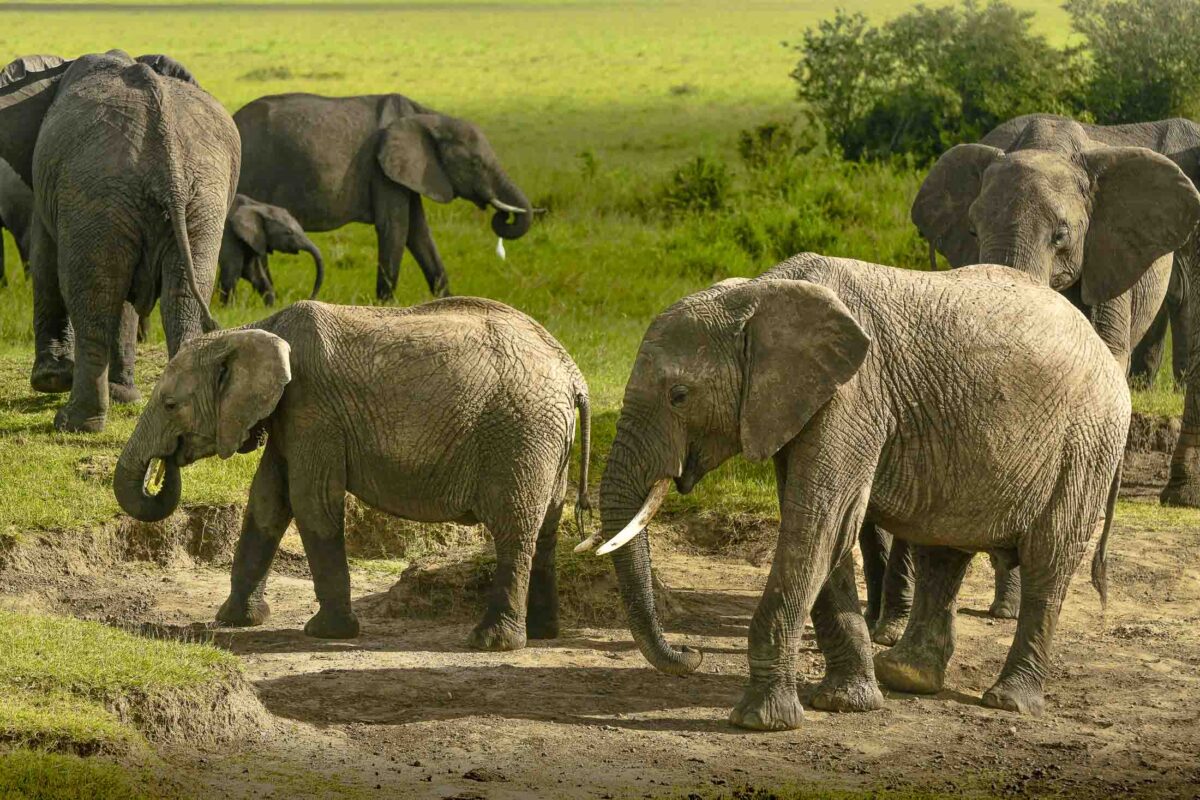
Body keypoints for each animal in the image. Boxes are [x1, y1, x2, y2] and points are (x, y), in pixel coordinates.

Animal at [114, 298, 592, 651]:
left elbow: (311, 501)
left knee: (514, 528)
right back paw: (543, 633)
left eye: (171, 405)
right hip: (547, 441)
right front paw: (235, 620)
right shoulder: (292, 416)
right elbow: (267, 501)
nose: (165, 465)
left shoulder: (313, 409)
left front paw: (325, 633)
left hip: (521, 435)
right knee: (546, 526)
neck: (251, 330)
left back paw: (491, 643)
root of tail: (574, 375)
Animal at [234, 93, 533, 301]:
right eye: (475, 164)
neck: (429, 116)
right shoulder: (382, 171)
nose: (503, 216)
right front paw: (385, 305)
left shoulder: (408, 174)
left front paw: (451, 302)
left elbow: (418, 233)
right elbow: (396, 228)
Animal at [591, 254, 1127, 730]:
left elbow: (820, 523)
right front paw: (846, 703)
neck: (760, 293)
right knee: (944, 551)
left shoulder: (854, 397)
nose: (692, 654)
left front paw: (762, 722)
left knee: (1047, 560)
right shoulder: (799, 403)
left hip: (1087, 443)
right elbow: (824, 528)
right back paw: (907, 677)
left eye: (679, 396)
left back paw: (1007, 701)